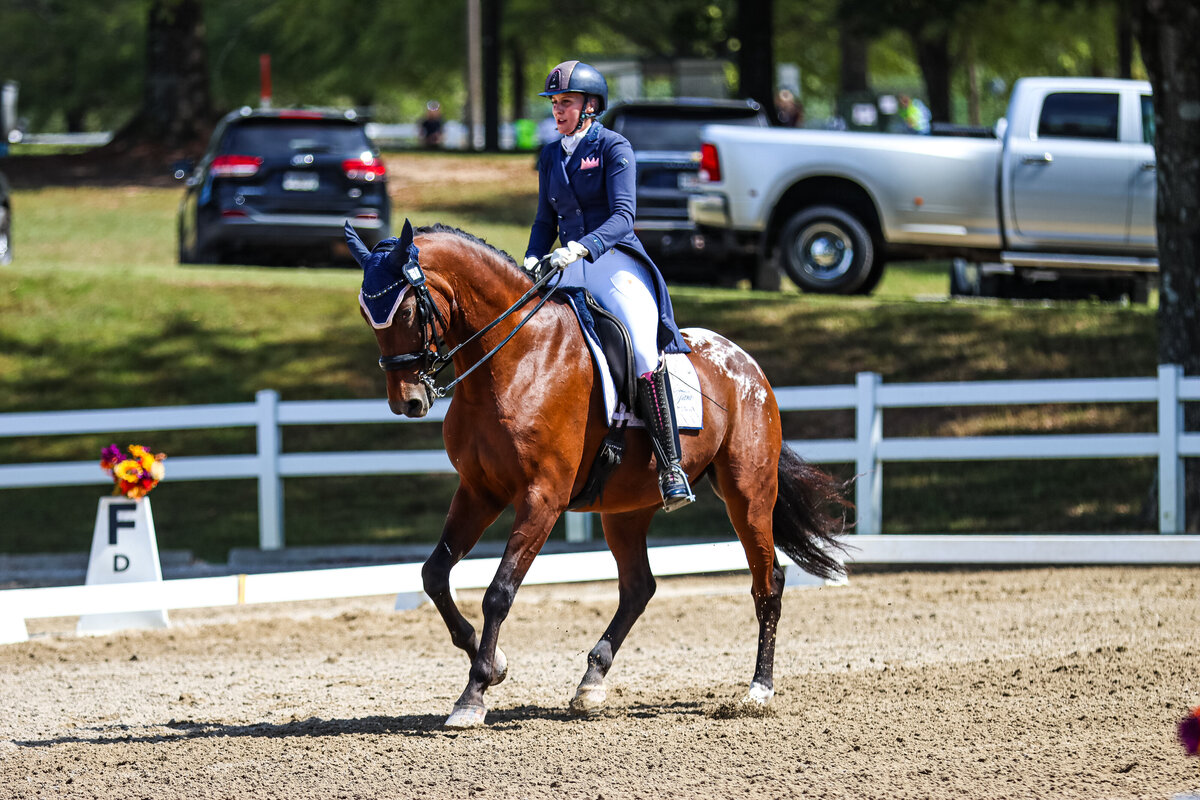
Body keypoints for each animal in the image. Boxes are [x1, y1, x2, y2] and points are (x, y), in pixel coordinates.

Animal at [351, 220, 848, 729]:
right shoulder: (479, 490)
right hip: (626, 509)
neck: (514, 359)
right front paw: (496, 666)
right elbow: (434, 574)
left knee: (768, 582)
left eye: (406, 309)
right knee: (638, 588)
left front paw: (474, 694)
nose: (408, 401)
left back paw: (758, 690)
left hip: (748, 494)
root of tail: (746, 363)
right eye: (367, 316)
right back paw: (591, 681)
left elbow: (499, 592)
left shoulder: (542, 497)